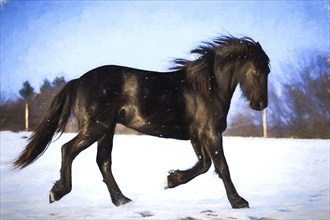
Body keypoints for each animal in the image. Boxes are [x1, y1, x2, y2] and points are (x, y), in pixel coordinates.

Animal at [14, 35, 270, 208]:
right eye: (258, 70)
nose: (261, 104)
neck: (206, 88)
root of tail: (77, 82)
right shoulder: (210, 133)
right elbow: (221, 166)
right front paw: (239, 202)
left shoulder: (197, 135)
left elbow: (204, 164)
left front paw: (171, 180)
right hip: (95, 128)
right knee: (68, 150)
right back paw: (58, 192)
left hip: (106, 129)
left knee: (103, 162)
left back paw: (121, 200)